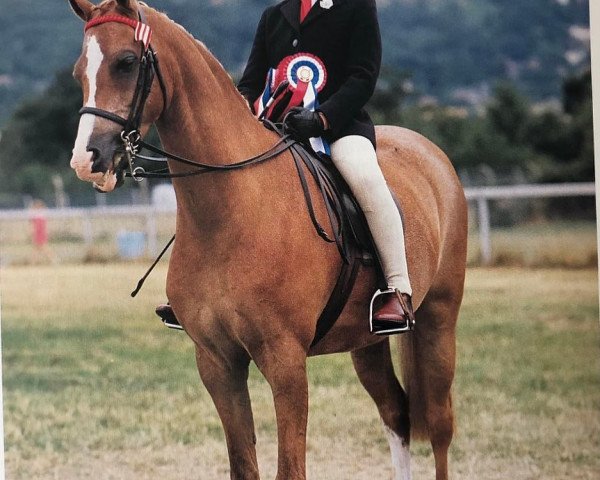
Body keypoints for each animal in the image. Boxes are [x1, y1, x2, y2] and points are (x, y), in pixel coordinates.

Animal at [67, 1, 468, 478]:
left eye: (126, 62)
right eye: (78, 72)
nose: (87, 161)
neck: (231, 212)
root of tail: (431, 152)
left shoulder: (286, 361)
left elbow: (289, 467)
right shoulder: (217, 363)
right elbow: (244, 464)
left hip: (439, 318)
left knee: (440, 425)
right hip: (367, 342)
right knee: (396, 412)